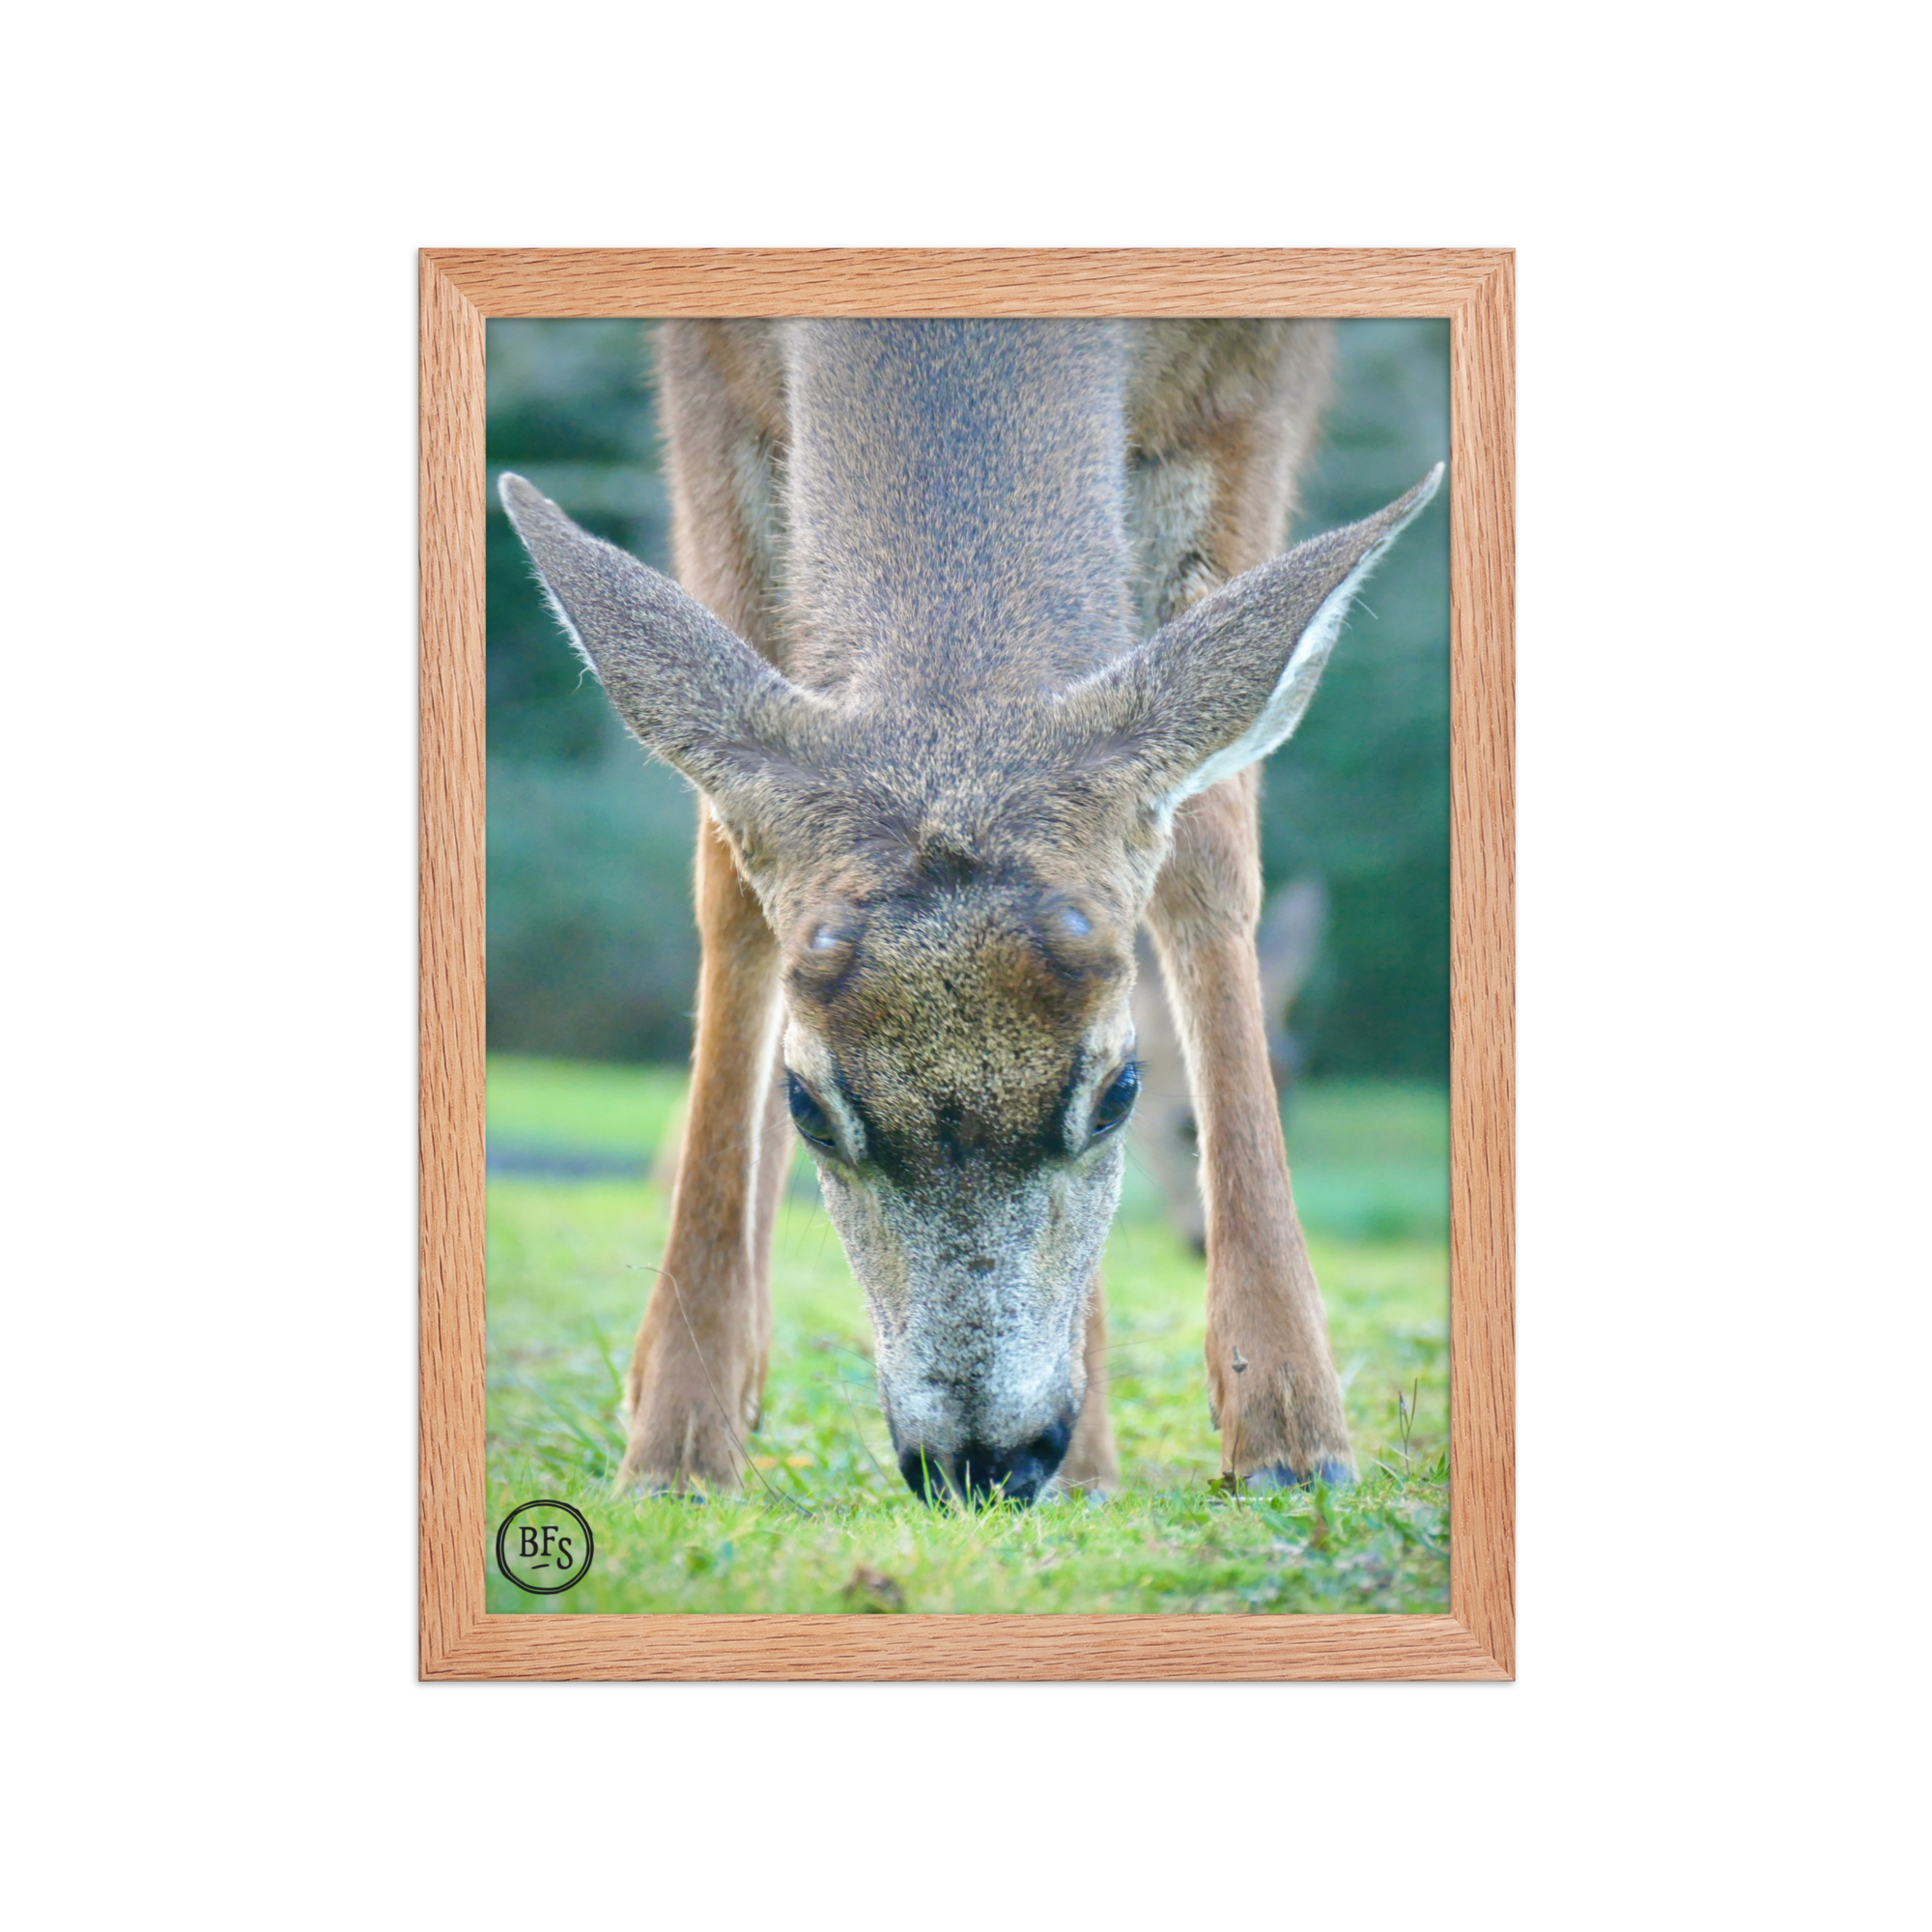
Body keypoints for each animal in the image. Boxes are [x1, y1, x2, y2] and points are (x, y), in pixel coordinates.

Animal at [498, 319, 1440, 1508]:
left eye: (1119, 1091)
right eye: (808, 1106)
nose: (984, 1460)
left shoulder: (1253, 384)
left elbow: (1210, 845)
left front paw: (1289, 1430)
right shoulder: (704, 371)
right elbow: (725, 869)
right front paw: (676, 1439)